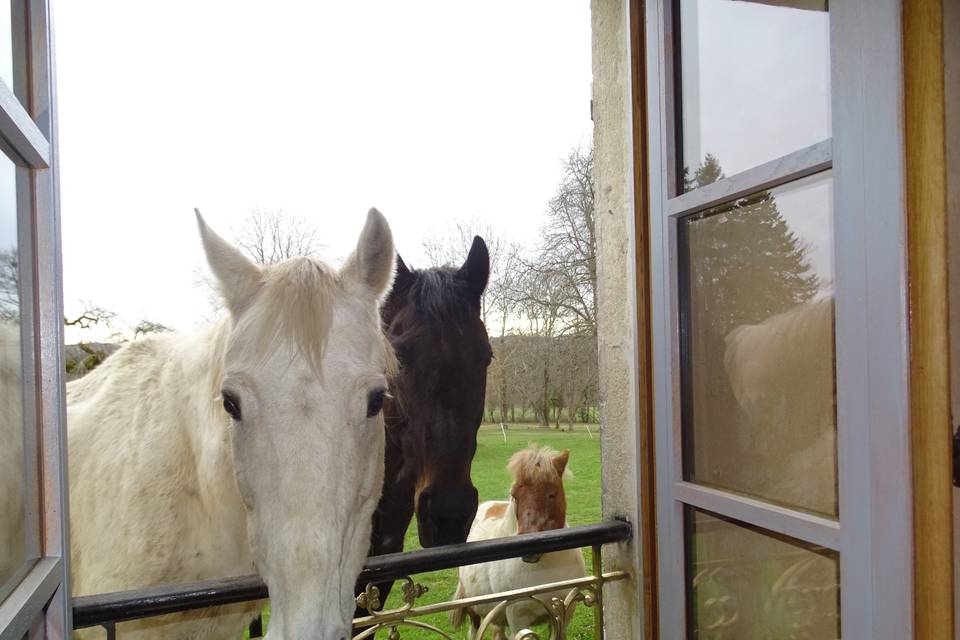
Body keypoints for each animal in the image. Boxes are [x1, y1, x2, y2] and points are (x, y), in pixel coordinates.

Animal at [451, 445, 586, 640]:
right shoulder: (518, 620)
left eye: (552, 494)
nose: (529, 551)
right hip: (475, 611)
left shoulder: (564, 614)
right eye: (515, 495)